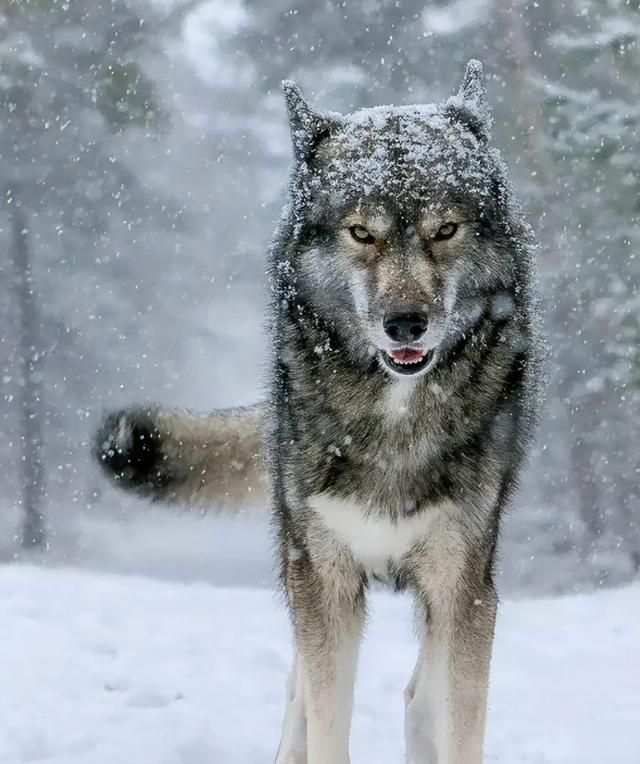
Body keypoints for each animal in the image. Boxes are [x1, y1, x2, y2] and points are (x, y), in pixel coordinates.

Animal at [95, 61, 544, 764]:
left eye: (445, 230)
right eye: (362, 233)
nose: (405, 323)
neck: (396, 418)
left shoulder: (464, 587)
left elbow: (454, 722)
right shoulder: (325, 579)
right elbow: (326, 719)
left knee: (416, 696)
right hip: (299, 564)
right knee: (300, 694)